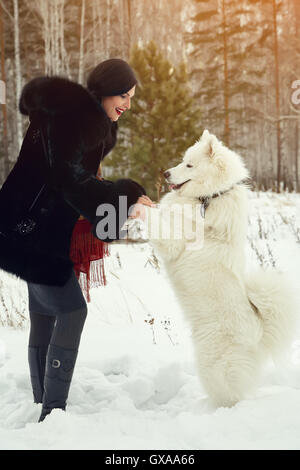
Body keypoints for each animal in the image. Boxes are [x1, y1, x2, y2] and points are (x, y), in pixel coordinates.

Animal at [144, 129, 298, 408]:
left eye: (189, 165)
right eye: (183, 161)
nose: (166, 174)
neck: (208, 198)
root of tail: (259, 332)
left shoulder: (173, 241)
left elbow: (154, 221)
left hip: (213, 364)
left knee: (230, 396)